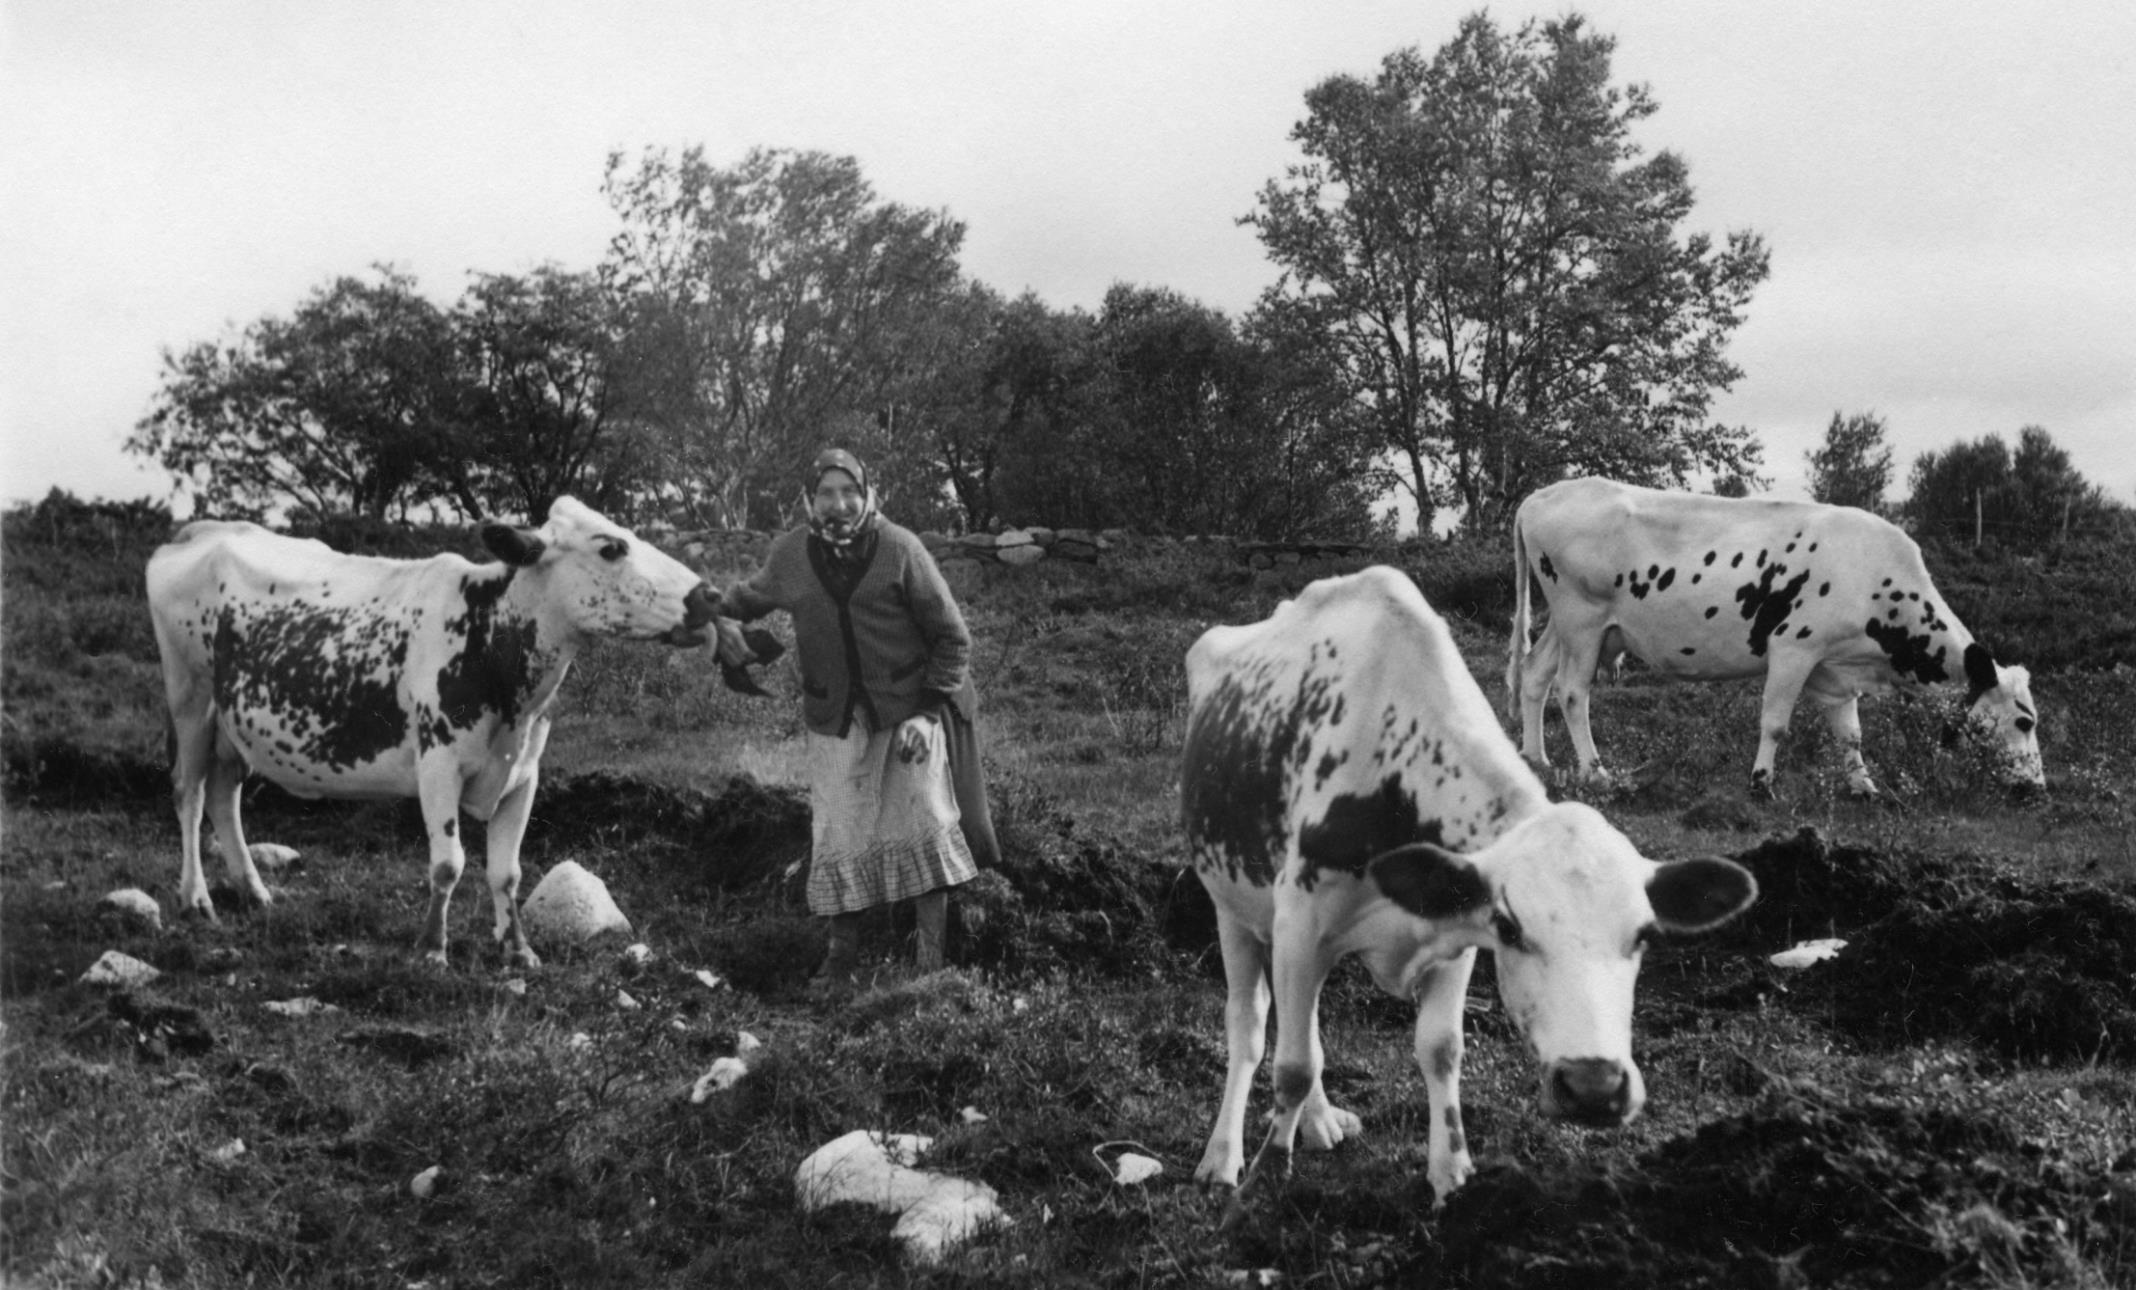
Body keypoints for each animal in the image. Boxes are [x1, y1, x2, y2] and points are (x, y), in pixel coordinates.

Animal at [152, 499, 786, 961]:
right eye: (610, 547)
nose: (707, 593)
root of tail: (199, 532)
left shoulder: (525, 775)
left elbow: (507, 870)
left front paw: (518, 950)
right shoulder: (438, 767)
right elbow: (448, 863)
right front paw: (433, 950)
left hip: (234, 721)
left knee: (225, 794)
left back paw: (254, 891)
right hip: (189, 697)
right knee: (188, 793)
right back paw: (196, 897)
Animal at [1187, 563, 1751, 1213]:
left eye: (1642, 935)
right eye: (1511, 927)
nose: (1593, 1085)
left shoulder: (1450, 928)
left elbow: (1440, 1049)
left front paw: (1452, 1175)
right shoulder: (1300, 927)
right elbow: (1294, 1065)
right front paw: (1263, 1178)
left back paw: (1321, 1122)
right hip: (1233, 908)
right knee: (1251, 1028)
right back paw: (1222, 1155)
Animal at [1512, 474, 2042, 794]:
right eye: (2024, 721)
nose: (2036, 787)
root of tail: (1540, 497)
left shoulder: (1834, 668)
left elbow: (1850, 734)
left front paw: (1863, 786)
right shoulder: (1793, 648)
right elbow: (1775, 723)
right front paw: (1761, 782)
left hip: (1568, 624)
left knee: (1535, 675)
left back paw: (1536, 758)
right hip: (1582, 618)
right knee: (1572, 691)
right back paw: (1595, 772)